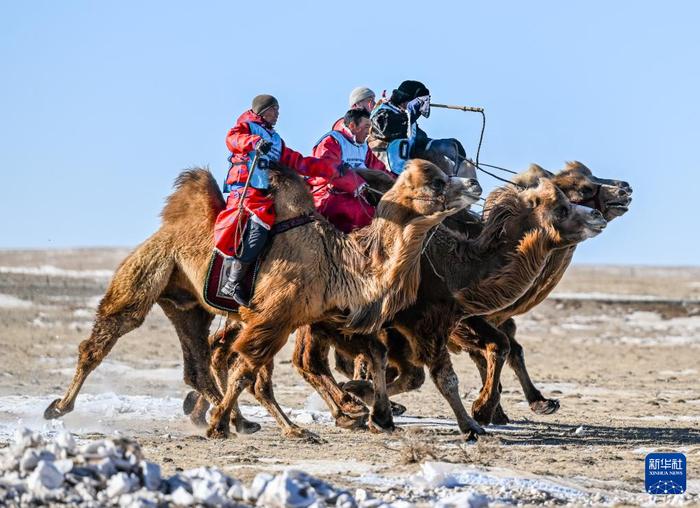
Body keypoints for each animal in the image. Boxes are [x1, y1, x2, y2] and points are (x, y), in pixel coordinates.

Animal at [45, 160, 482, 440]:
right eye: (437, 181)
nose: (475, 186)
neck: (340, 260)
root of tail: (167, 227)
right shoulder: (274, 316)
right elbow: (246, 371)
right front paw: (218, 426)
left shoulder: (312, 317)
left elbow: (364, 354)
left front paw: (373, 414)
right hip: (147, 272)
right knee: (106, 335)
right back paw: (59, 408)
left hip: (187, 304)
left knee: (200, 361)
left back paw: (249, 422)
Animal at [292, 177, 608, 434]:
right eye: (562, 208)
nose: (597, 215)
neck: (454, 271)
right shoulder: (428, 324)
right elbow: (445, 376)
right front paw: (473, 422)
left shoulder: (443, 320)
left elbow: (420, 372)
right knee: (310, 361)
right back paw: (348, 410)